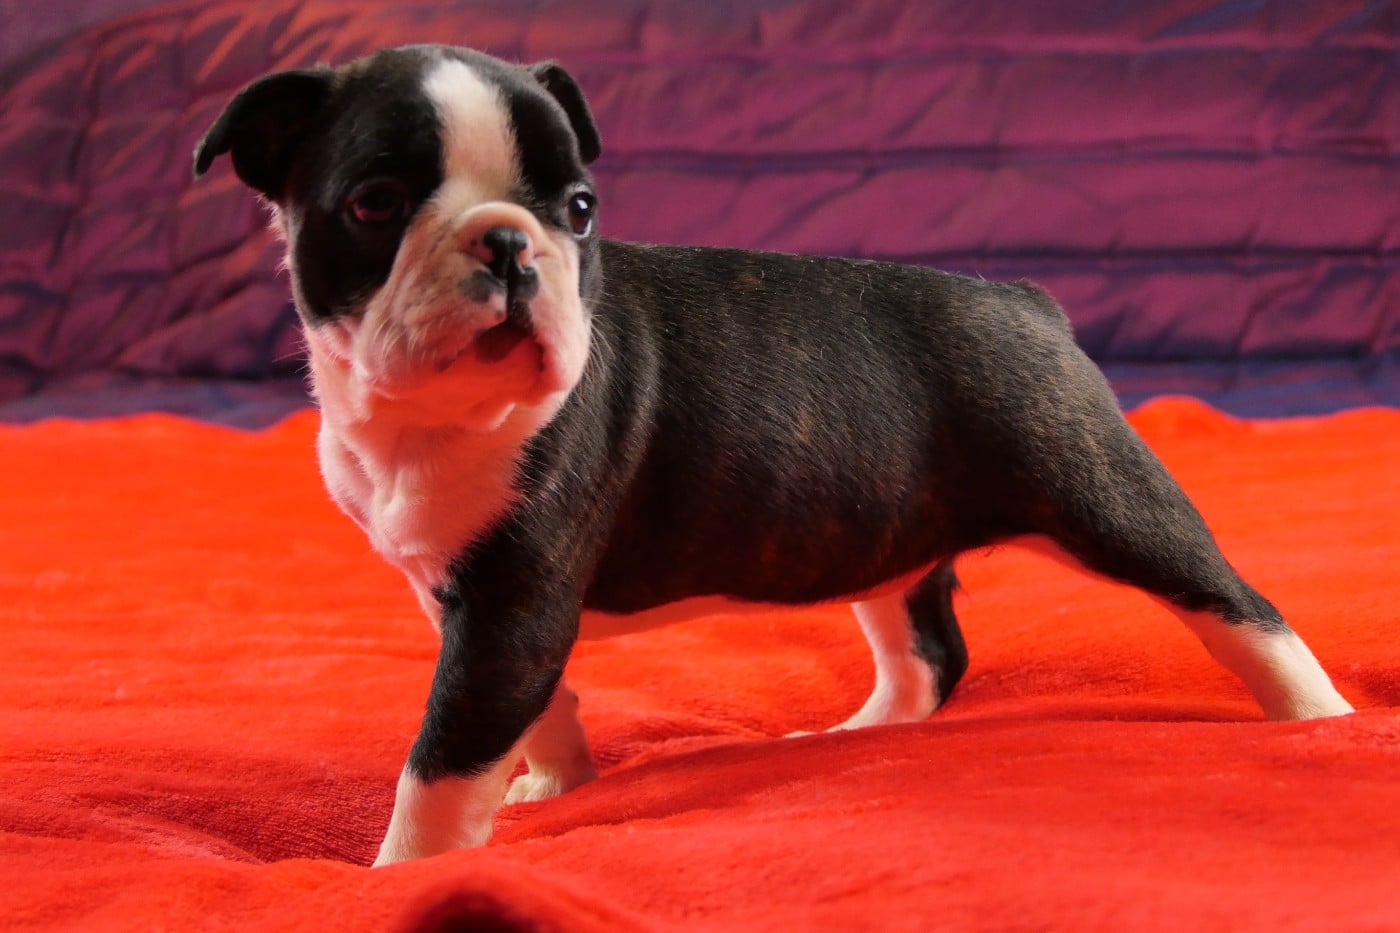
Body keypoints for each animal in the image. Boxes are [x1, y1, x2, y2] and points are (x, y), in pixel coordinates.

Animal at [193, 44, 1354, 866]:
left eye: (579, 210)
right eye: (375, 204)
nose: (511, 240)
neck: (424, 416)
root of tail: (1025, 303)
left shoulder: (511, 603)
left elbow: (441, 757)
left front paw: (396, 872)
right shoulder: (474, 603)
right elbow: (536, 704)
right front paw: (557, 782)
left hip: (1104, 498)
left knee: (1238, 605)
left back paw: (1319, 724)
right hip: (891, 544)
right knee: (927, 656)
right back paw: (850, 736)